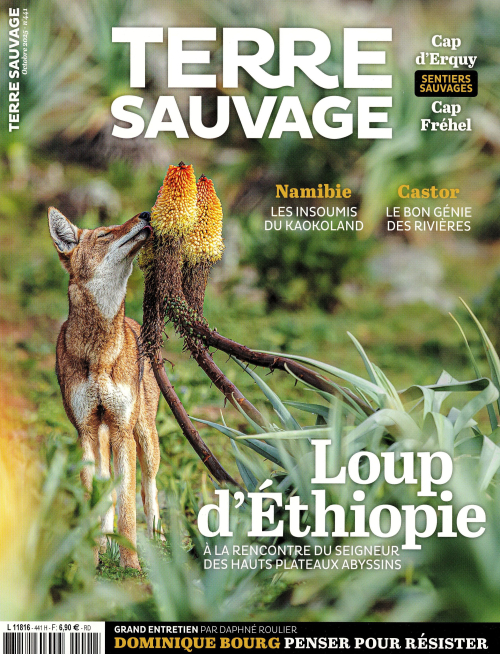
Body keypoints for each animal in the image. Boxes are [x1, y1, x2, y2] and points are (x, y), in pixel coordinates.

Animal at [48, 207, 161, 569]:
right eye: (104, 234)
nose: (146, 213)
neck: (98, 354)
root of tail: (135, 324)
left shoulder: (123, 431)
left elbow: (128, 509)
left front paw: (131, 565)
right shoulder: (85, 431)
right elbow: (94, 500)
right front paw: (92, 558)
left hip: (145, 438)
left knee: (149, 489)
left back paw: (159, 539)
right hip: (103, 435)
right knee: (107, 491)